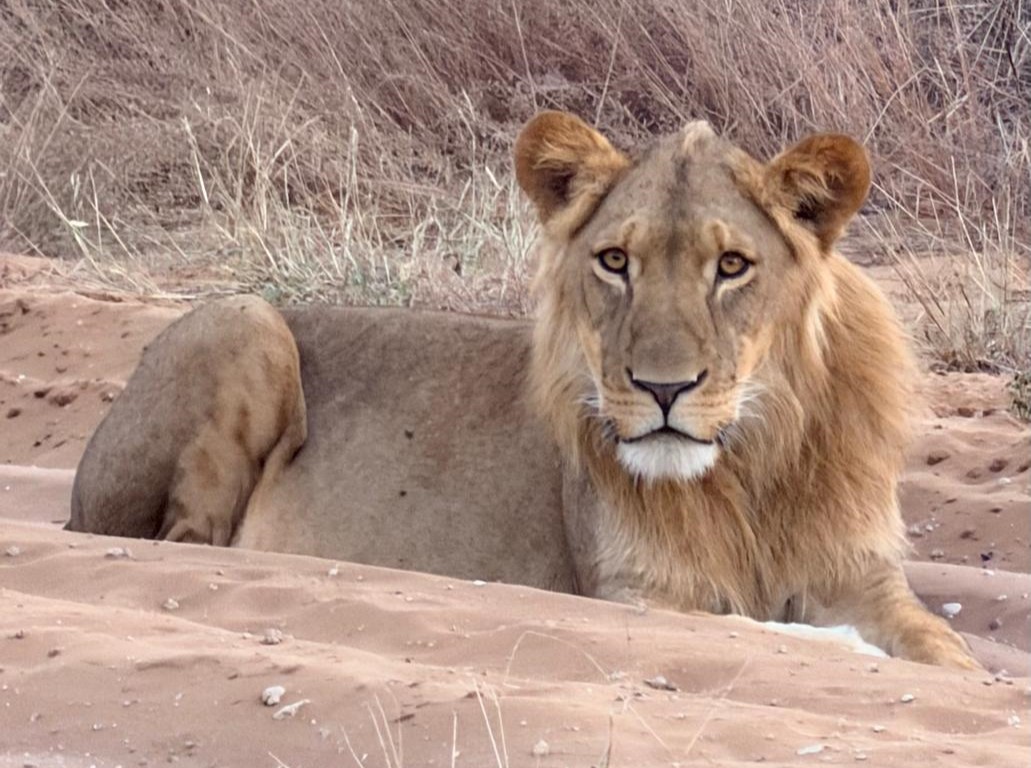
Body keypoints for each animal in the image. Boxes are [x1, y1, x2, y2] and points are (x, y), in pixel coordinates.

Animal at [66, 111, 977, 669]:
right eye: (614, 261)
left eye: (731, 266)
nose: (662, 388)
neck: (747, 471)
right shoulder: (638, 596)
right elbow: (776, 633)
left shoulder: (862, 578)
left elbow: (941, 650)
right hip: (243, 318)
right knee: (186, 546)